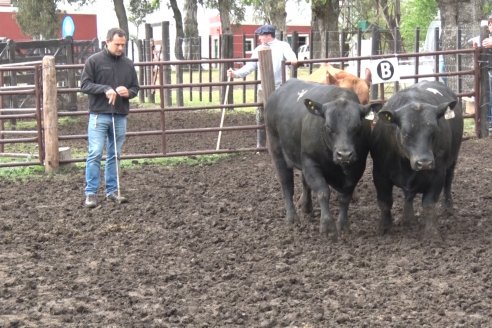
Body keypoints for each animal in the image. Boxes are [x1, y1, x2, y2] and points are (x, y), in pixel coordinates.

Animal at [264, 78, 382, 240]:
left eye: (357, 126)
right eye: (328, 127)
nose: (344, 154)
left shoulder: (357, 167)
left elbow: (345, 197)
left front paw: (343, 225)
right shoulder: (311, 162)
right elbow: (323, 192)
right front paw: (327, 226)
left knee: (304, 182)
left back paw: (306, 207)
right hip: (277, 151)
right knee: (286, 184)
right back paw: (292, 218)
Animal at [370, 80, 464, 238]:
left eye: (434, 131)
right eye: (405, 133)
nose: (424, 162)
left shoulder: (437, 173)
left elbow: (429, 204)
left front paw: (432, 233)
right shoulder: (379, 173)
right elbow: (385, 202)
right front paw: (384, 227)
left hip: (453, 159)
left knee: (448, 181)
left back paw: (448, 206)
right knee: (408, 195)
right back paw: (409, 219)